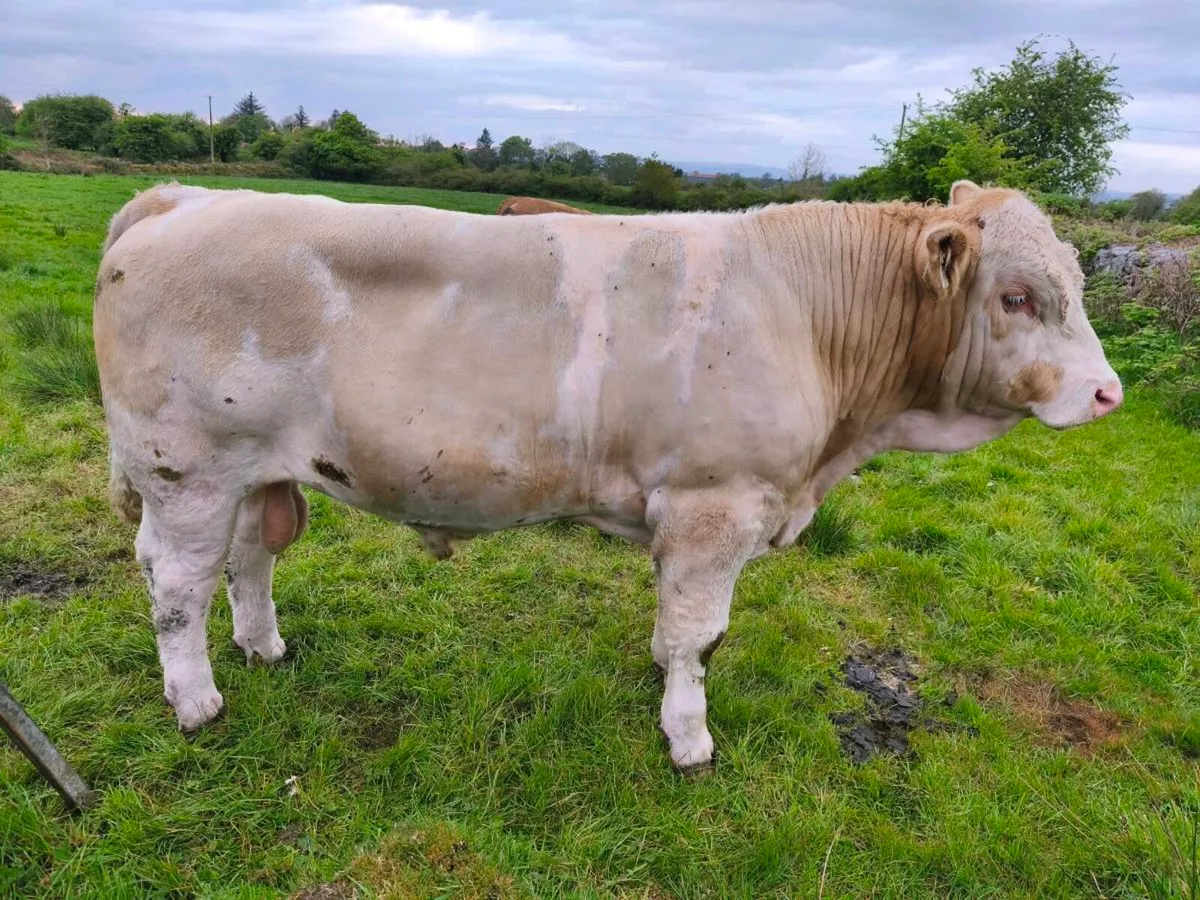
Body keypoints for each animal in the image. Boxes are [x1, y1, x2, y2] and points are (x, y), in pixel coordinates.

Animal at [93, 180, 1121, 773]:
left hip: (250, 470)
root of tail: (183, 198)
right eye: (1017, 296)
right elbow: (704, 635)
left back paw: (264, 646)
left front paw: (663, 679)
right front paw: (690, 739)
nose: (1109, 393)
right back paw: (196, 703)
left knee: (249, 559)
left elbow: (675, 629)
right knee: (176, 586)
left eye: (1076, 279)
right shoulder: (717, 506)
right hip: (183, 470)